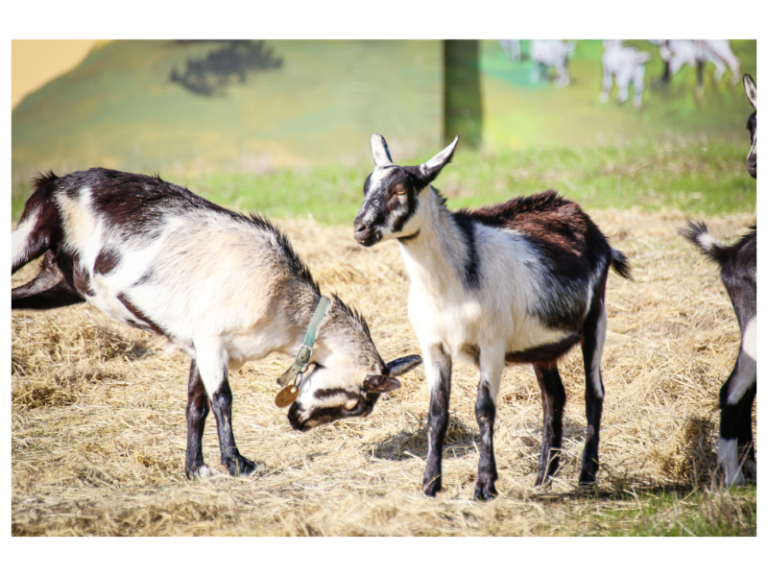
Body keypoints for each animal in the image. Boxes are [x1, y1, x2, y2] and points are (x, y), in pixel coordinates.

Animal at [12, 168, 422, 479]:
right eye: (350, 402)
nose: (297, 422)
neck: (283, 302)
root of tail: (55, 182)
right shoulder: (212, 339)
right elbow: (222, 399)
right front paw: (237, 463)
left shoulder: (199, 345)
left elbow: (197, 405)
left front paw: (196, 469)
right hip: (31, 232)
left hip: (57, 281)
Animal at [353, 134, 630, 499]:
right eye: (366, 186)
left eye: (400, 190)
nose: (360, 229)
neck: (451, 281)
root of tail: (595, 232)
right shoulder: (433, 346)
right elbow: (437, 414)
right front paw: (430, 484)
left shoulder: (492, 345)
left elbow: (484, 409)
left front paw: (485, 485)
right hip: (542, 346)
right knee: (553, 398)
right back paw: (543, 478)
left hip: (596, 318)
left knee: (593, 393)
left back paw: (586, 477)